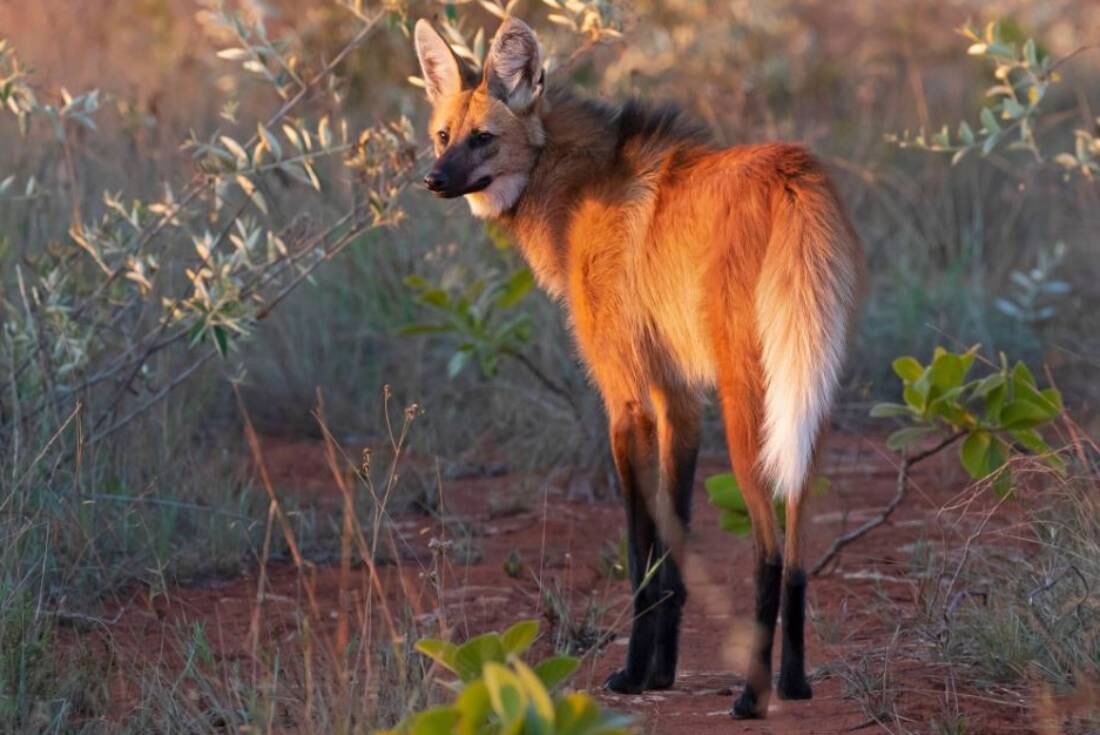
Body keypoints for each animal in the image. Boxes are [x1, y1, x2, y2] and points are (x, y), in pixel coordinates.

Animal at [415, 15, 862, 717]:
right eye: (442, 135)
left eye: (483, 138)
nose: (433, 179)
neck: (574, 190)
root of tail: (796, 168)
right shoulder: (678, 401)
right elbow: (671, 558)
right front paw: (662, 673)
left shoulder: (626, 403)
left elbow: (639, 554)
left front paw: (630, 675)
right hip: (806, 398)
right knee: (795, 549)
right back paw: (794, 683)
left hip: (749, 407)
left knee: (767, 549)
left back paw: (752, 697)